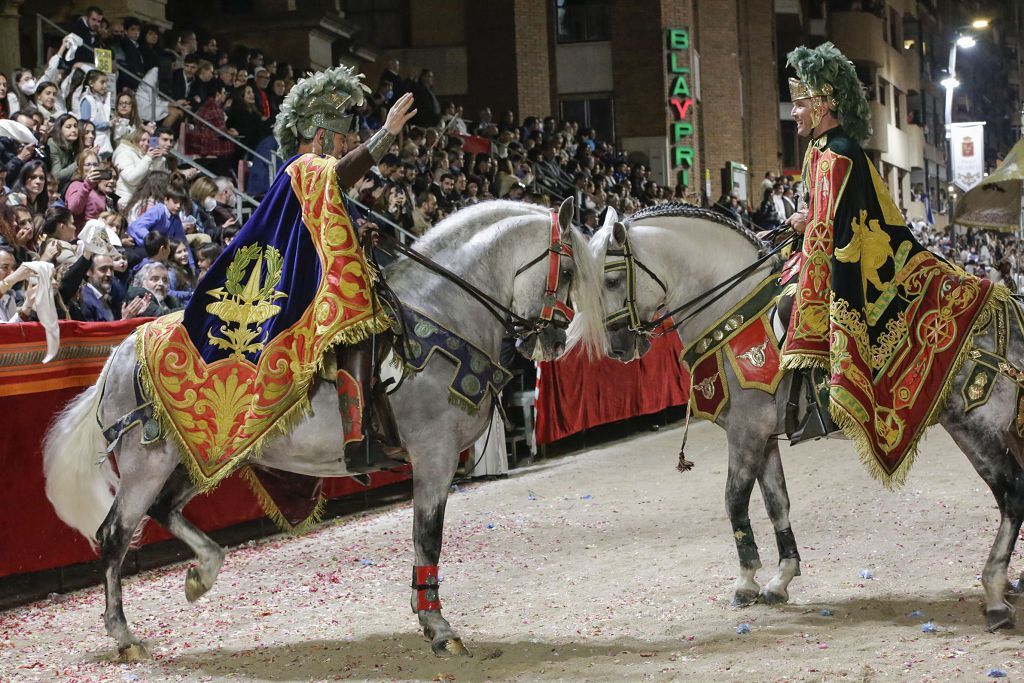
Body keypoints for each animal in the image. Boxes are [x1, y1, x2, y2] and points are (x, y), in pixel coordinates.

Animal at [44, 198, 606, 663]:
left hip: (191, 458)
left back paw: (202, 572)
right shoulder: (434, 458)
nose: (554, 341)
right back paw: (125, 637)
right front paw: (438, 627)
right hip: (147, 463)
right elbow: (428, 539)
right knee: (114, 536)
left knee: (163, 512)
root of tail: (121, 352)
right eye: (568, 268)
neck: (445, 315)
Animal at [589, 205, 1024, 634]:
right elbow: (776, 502)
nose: (617, 348)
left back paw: (995, 593)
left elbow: (734, 500)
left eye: (611, 279)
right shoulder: (764, 436)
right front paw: (780, 579)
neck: (732, 308)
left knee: (1011, 495)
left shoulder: (745, 432)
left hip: (975, 426)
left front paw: (745, 581)